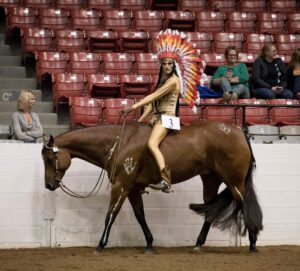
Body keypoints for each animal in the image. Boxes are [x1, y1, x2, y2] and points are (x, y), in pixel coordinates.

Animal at [41, 122, 262, 254]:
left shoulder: (121, 186)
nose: (49, 184)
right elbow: (140, 216)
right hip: (210, 179)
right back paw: (198, 244)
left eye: (50, 158)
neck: (119, 142)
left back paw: (252, 243)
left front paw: (101, 244)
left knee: (245, 205)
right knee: (210, 210)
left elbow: (110, 214)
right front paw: (149, 243)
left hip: (234, 182)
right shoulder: (132, 189)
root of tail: (238, 131)